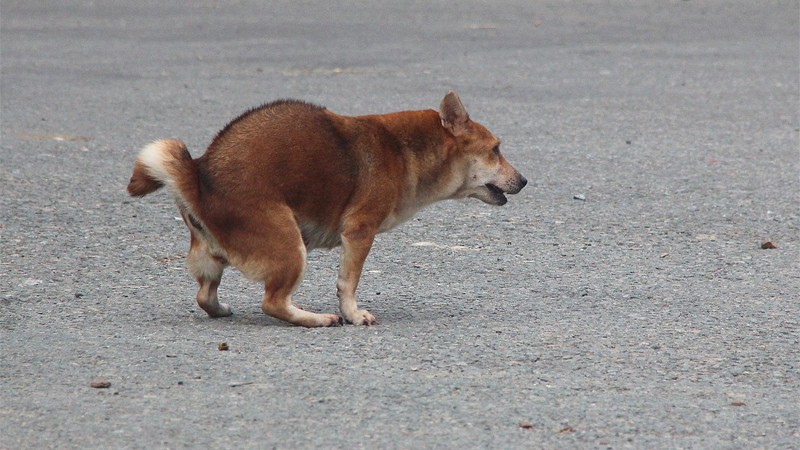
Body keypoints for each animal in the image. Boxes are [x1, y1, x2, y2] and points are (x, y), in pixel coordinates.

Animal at [125, 90, 524, 326]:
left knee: (205, 295)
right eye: (496, 149)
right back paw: (316, 319)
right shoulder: (359, 232)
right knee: (272, 302)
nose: (523, 180)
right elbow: (348, 282)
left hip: (211, 258)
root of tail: (200, 174)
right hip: (289, 246)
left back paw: (222, 309)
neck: (404, 150)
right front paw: (352, 314)